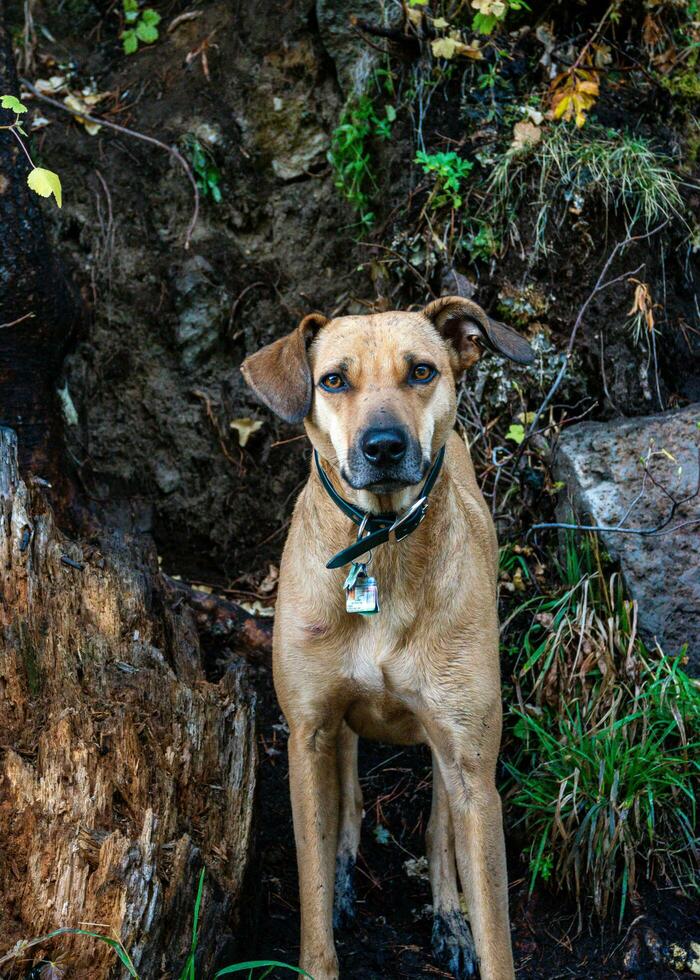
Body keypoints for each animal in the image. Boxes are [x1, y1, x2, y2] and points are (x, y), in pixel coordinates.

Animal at [243, 298, 532, 980]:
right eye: (333, 380)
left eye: (421, 370)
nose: (383, 446)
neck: (382, 543)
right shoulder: (308, 735)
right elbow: (313, 886)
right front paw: (328, 910)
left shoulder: (472, 768)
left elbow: (495, 931)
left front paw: (464, 925)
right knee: (347, 795)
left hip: (453, 749)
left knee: (438, 830)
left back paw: (449, 917)